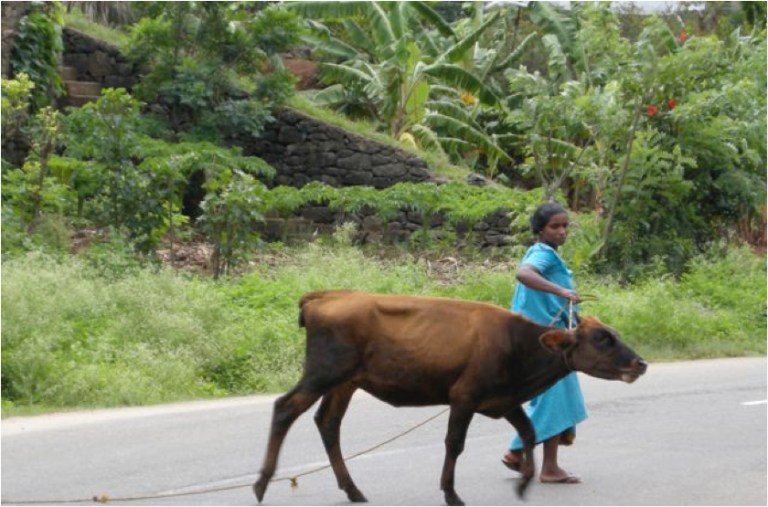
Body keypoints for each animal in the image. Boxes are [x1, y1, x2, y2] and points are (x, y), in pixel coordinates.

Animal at [253, 290, 647, 506]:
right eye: (601, 338)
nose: (640, 363)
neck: (519, 346)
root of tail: (324, 296)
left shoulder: (503, 400)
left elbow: (530, 432)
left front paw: (523, 480)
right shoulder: (465, 395)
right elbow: (454, 443)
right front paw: (450, 492)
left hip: (345, 383)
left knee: (328, 424)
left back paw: (352, 489)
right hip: (323, 373)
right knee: (285, 408)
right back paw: (260, 484)